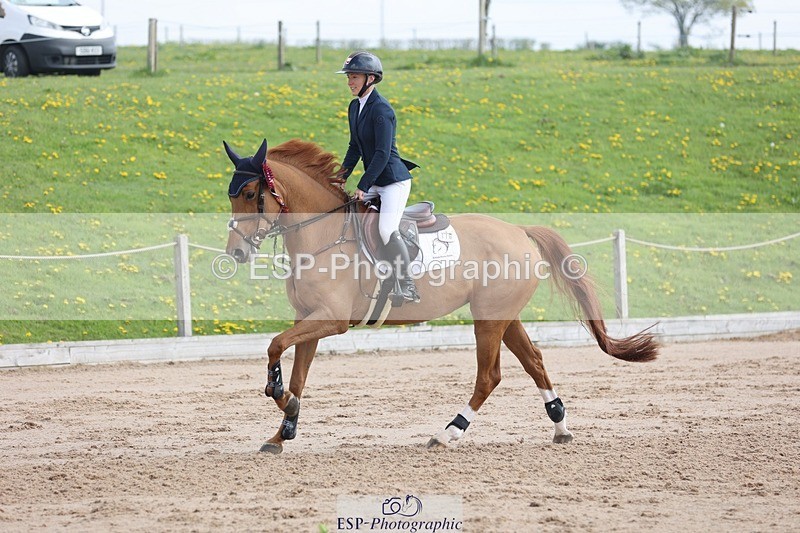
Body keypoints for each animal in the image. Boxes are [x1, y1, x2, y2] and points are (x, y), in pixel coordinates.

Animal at [223, 138, 659, 454]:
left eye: (250, 192)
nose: (237, 253)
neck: (322, 234)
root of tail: (519, 230)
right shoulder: (309, 318)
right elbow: (297, 372)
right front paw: (283, 429)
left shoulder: (332, 319)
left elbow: (274, 346)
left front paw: (277, 393)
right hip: (502, 315)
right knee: (534, 361)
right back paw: (561, 427)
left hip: (488, 320)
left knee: (489, 376)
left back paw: (448, 432)